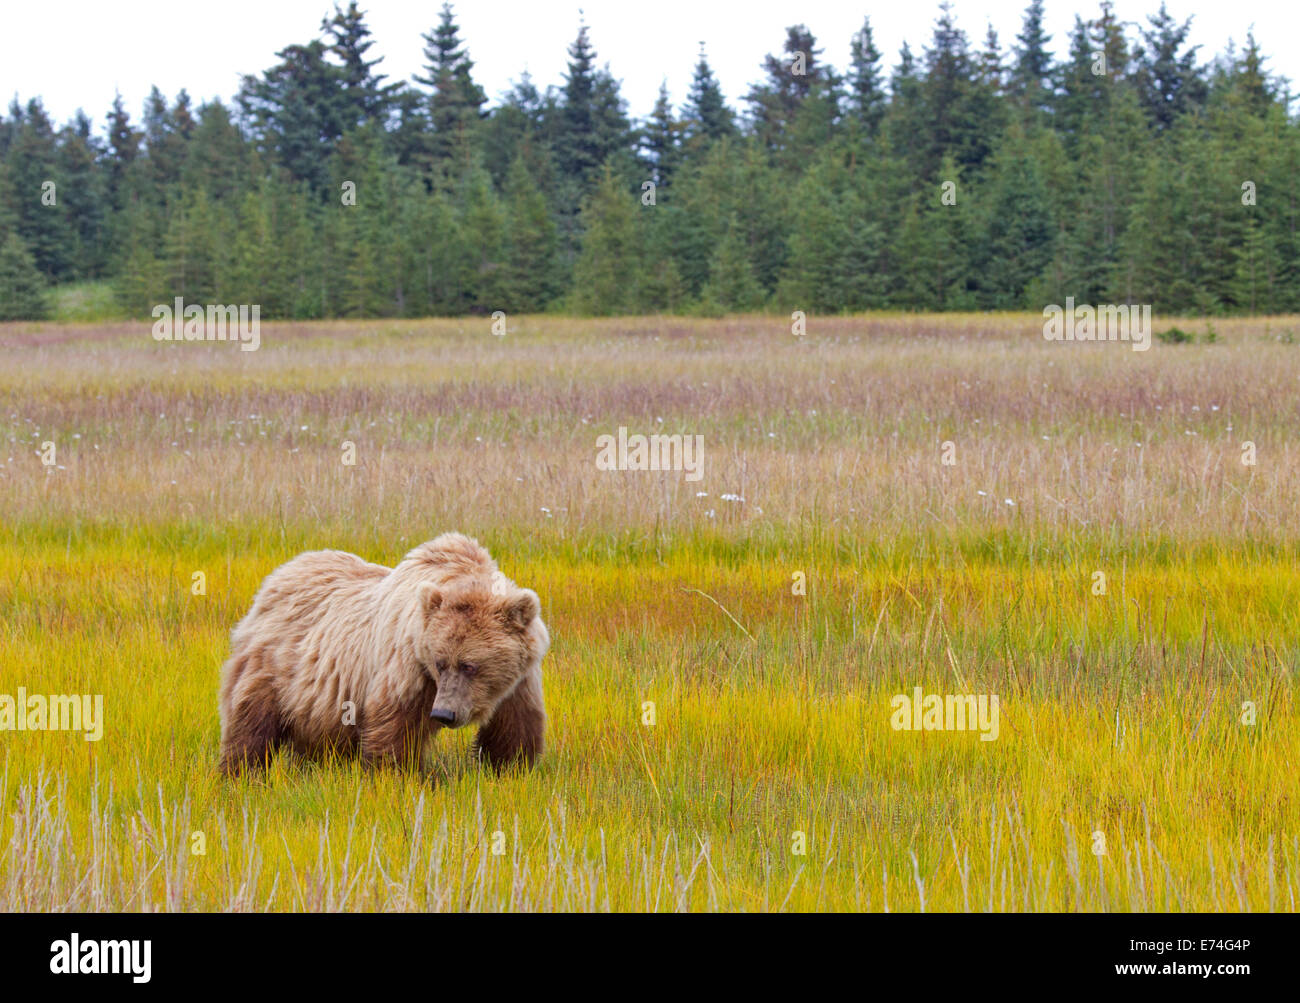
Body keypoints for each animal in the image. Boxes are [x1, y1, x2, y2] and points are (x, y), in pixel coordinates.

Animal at [218, 532, 549, 774]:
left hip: (315, 702)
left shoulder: (519, 681)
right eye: (440, 663)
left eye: (470, 665)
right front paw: (394, 777)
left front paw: (509, 770)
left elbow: (514, 729)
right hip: (274, 668)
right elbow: (395, 724)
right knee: (251, 725)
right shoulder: (409, 666)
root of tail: (272, 580)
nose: (444, 713)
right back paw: (239, 775)